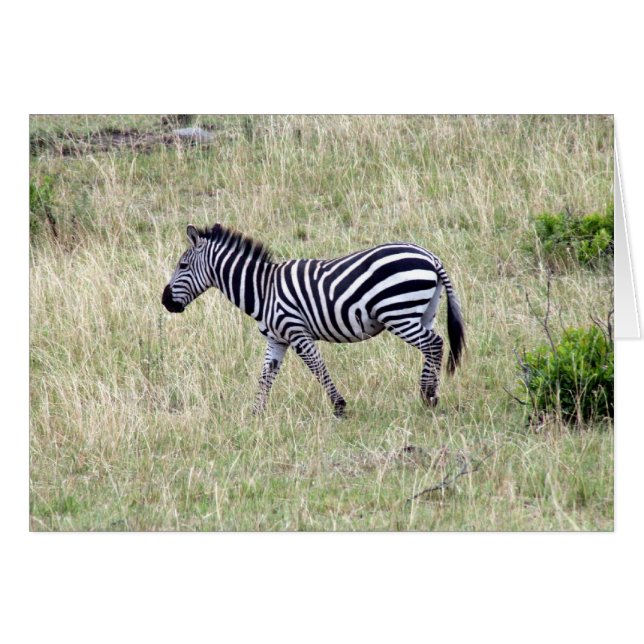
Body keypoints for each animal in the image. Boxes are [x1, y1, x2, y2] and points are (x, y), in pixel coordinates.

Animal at [162, 223, 465, 417]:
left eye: (183, 266)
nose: (165, 301)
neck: (263, 290)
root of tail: (430, 257)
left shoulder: (297, 332)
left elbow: (317, 367)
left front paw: (339, 405)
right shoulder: (277, 339)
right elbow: (266, 375)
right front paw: (256, 412)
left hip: (398, 313)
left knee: (434, 344)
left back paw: (428, 394)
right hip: (423, 312)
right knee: (432, 347)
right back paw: (430, 394)